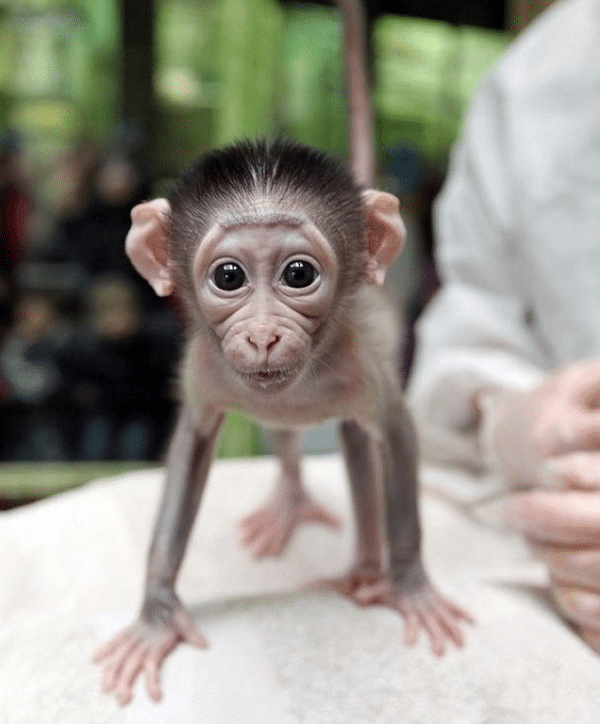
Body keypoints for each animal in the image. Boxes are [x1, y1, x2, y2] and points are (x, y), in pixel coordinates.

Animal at [93, 0, 471, 706]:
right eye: (229, 277)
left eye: (299, 274)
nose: (265, 334)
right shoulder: (204, 373)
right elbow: (191, 450)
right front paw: (156, 615)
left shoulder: (364, 370)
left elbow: (398, 437)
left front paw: (410, 584)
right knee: (295, 438)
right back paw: (292, 504)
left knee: (358, 447)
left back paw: (367, 572)